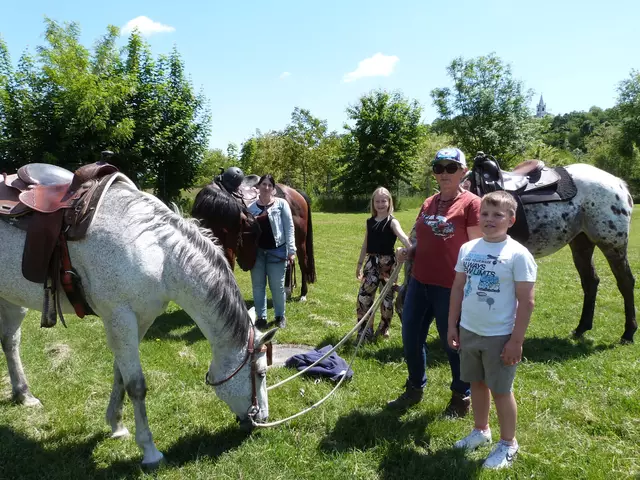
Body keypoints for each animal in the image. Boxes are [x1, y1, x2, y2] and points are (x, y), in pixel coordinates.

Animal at [0, 174, 277, 467]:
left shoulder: (139, 319)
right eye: (261, 373)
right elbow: (136, 385)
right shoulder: (120, 318)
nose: (262, 418)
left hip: (12, 301)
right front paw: (149, 450)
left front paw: (117, 425)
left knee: (10, 342)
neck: (159, 254)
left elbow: (120, 375)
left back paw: (24, 394)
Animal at [397, 159, 636, 343]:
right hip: (581, 243)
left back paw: (628, 333)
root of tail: (619, 184)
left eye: (401, 311)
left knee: (625, 281)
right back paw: (581, 329)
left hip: (612, 243)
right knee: (590, 282)